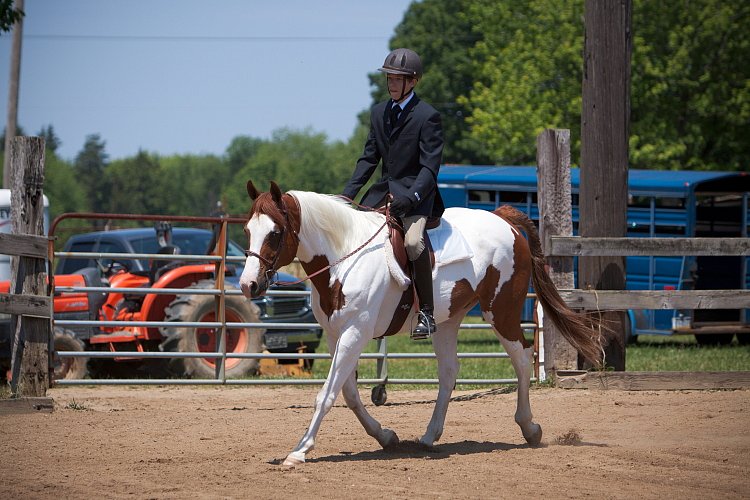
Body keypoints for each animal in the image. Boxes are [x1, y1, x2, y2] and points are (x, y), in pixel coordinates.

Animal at [238, 182, 604, 466]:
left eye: (275, 233)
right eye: (247, 231)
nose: (248, 285)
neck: (344, 258)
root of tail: (504, 220)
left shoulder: (355, 333)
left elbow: (327, 394)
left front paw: (299, 451)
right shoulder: (336, 336)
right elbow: (349, 393)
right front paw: (385, 436)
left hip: (501, 311)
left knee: (523, 359)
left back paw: (529, 428)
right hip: (449, 321)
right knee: (449, 372)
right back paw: (430, 436)